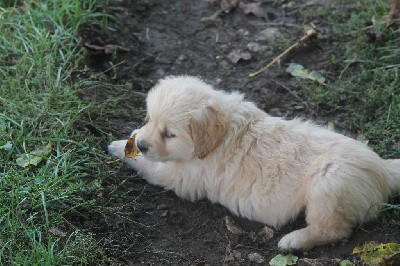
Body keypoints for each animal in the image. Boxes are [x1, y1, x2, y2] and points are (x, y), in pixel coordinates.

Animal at [107, 76, 400, 250]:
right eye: (149, 118)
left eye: (169, 134)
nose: (142, 145)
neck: (219, 134)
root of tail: (383, 168)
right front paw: (130, 139)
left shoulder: (181, 175)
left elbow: (151, 166)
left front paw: (118, 146)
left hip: (329, 185)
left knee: (336, 230)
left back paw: (293, 241)